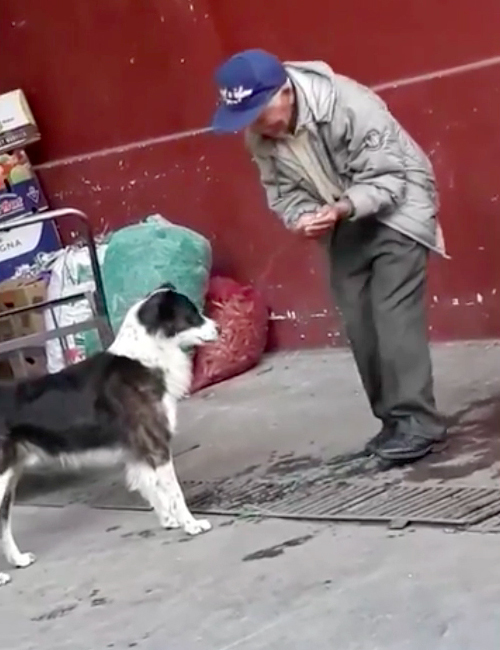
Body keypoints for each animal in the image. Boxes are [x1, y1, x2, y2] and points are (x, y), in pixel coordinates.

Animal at [0, 280, 217, 584]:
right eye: (192, 315)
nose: (219, 328)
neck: (147, 357)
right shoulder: (157, 446)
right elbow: (174, 493)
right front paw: (190, 524)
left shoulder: (138, 451)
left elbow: (151, 488)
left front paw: (168, 521)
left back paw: (17, 560)